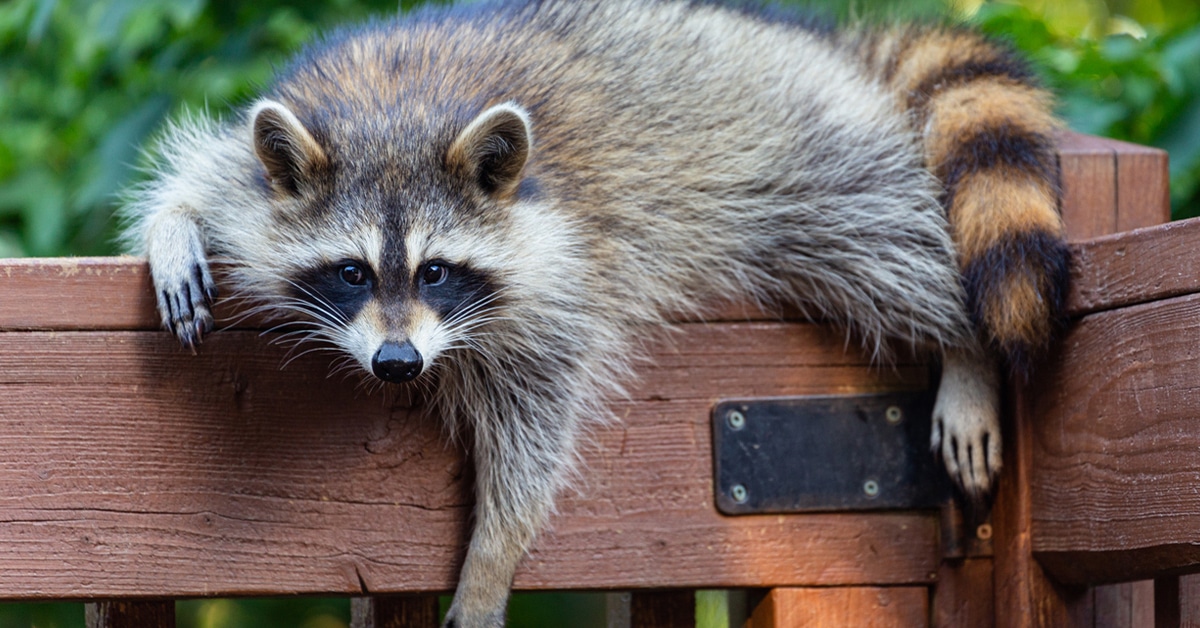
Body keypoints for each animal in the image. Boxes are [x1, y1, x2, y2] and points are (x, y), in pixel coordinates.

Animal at [124, 2, 1070, 624]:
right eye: (352, 272)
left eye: (436, 272)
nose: (397, 365)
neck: (396, 114)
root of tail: (820, 42)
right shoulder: (262, 165)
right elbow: (204, 175)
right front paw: (176, 225)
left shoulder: (561, 272)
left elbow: (536, 424)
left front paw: (492, 557)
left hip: (800, 151)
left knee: (887, 246)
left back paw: (963, 344)